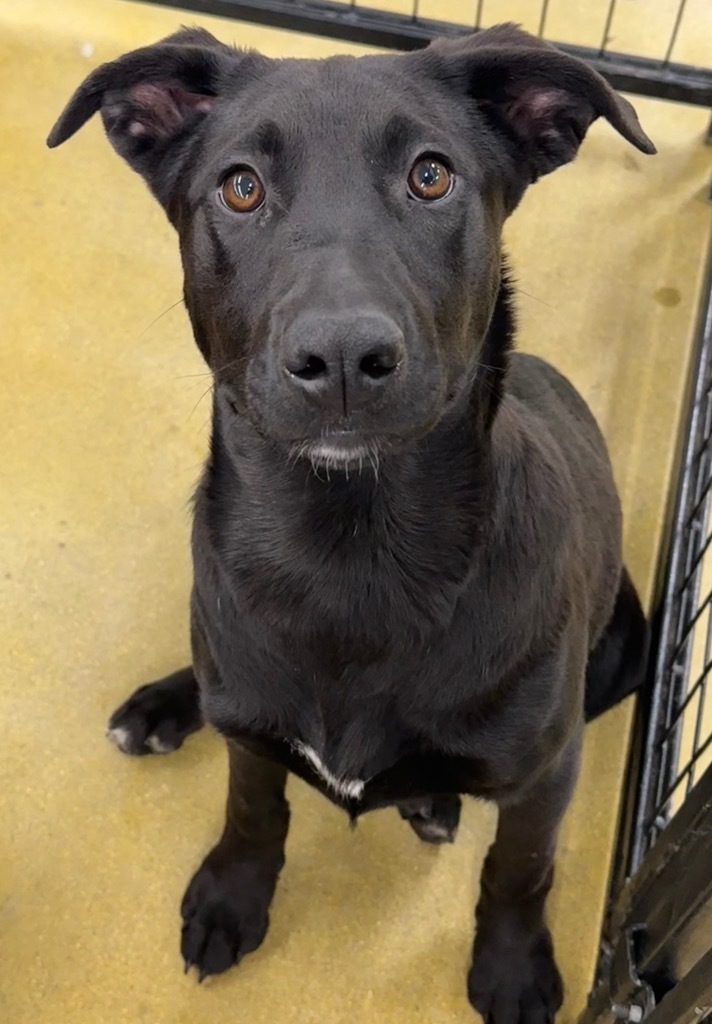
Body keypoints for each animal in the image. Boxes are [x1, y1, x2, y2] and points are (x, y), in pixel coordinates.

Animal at [47, 25, 655, 1024]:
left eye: (431, 175)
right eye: (241, 186)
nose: (339, 356)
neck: (348, 547)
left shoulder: (549, 770)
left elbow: (519, 868)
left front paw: (512, 967)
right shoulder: (252, 725)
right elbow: (253, 807)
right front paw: (232, 897)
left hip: (624, 651)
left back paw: (433, 804)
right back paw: (165, 706)